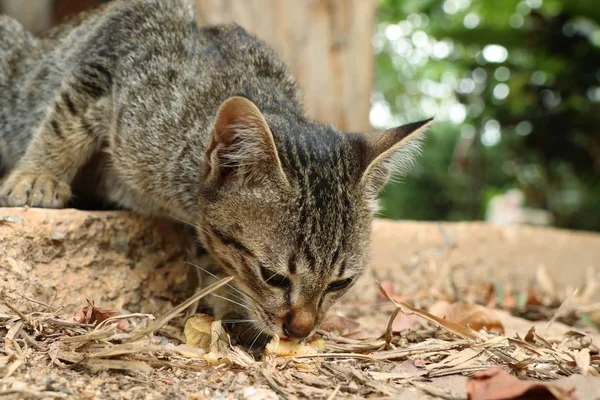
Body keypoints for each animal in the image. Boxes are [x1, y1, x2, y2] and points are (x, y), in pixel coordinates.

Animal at [0, 0, 432, 344]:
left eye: (340, 283)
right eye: (273, 277)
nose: (300, 331)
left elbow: (215, 260)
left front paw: (231, 311)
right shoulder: (111, 52)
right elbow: (64, 123)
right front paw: (37, 176)